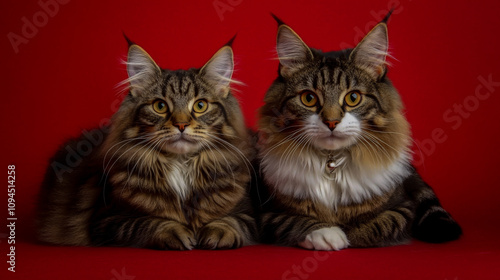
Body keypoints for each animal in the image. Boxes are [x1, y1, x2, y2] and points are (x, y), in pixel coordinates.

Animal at [38, 38, 258, 250]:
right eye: (160, 106)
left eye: (200, 105)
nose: (181, 124)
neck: (181, 163)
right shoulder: (107, 219)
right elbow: (146, 222)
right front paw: (173, 231)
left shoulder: (247, 213)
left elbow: (230, 221)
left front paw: (218, 233)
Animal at [260, 14, 462, 249]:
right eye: (308, 98)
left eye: (353, 98)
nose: (331, 122)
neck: (331, 164)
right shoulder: (267, 213)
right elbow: (294, 221)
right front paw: (328, 233)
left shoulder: (403, 206)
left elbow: (381, 224)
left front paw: (350, 236)